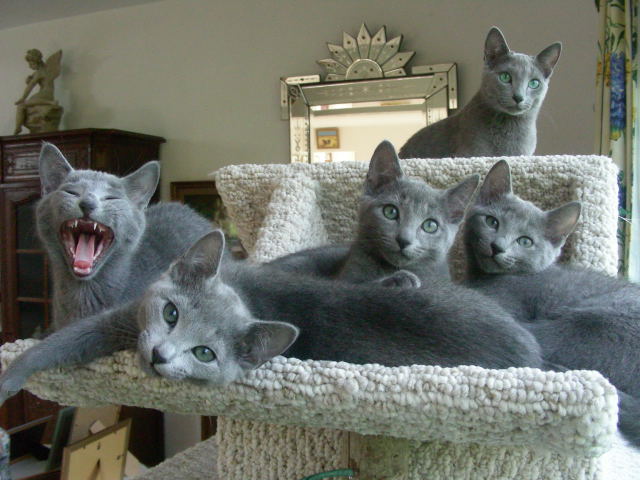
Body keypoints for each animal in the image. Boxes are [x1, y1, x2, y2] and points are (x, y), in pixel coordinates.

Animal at [269, 140, 479, 285]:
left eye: (430, 225)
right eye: (390, 212)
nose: (404, 240)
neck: (389, 268)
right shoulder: (344, 278)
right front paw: (400, 280)